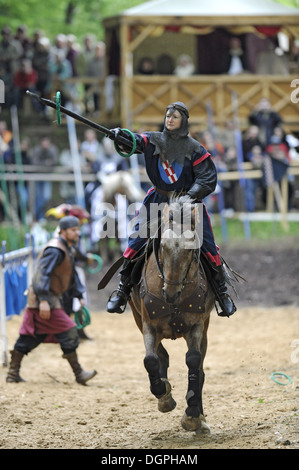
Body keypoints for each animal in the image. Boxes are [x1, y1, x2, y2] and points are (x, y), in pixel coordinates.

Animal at [129, 197, 216, 434]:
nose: (170, 292)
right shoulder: (148, 325)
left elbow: (193, 361)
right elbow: (151, 360)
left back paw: (200, 419)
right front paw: (164, 395)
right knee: (162, 356)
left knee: (200, 369)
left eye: (190, 250)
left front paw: (192, 415)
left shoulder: (197, 326)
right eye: (163, 247)